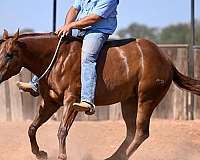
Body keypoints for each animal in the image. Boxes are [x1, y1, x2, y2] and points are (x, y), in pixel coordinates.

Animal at [0, 30, 200, 160]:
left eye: (10, 54)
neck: (58, 58)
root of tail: (166, 59)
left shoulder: (72, 100)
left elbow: (62, 130)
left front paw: (62, 155)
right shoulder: (50, 102)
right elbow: (32, 127)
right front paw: (40, 153)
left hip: (147, 99)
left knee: (141, 133)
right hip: (129, 102)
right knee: (131, 133)